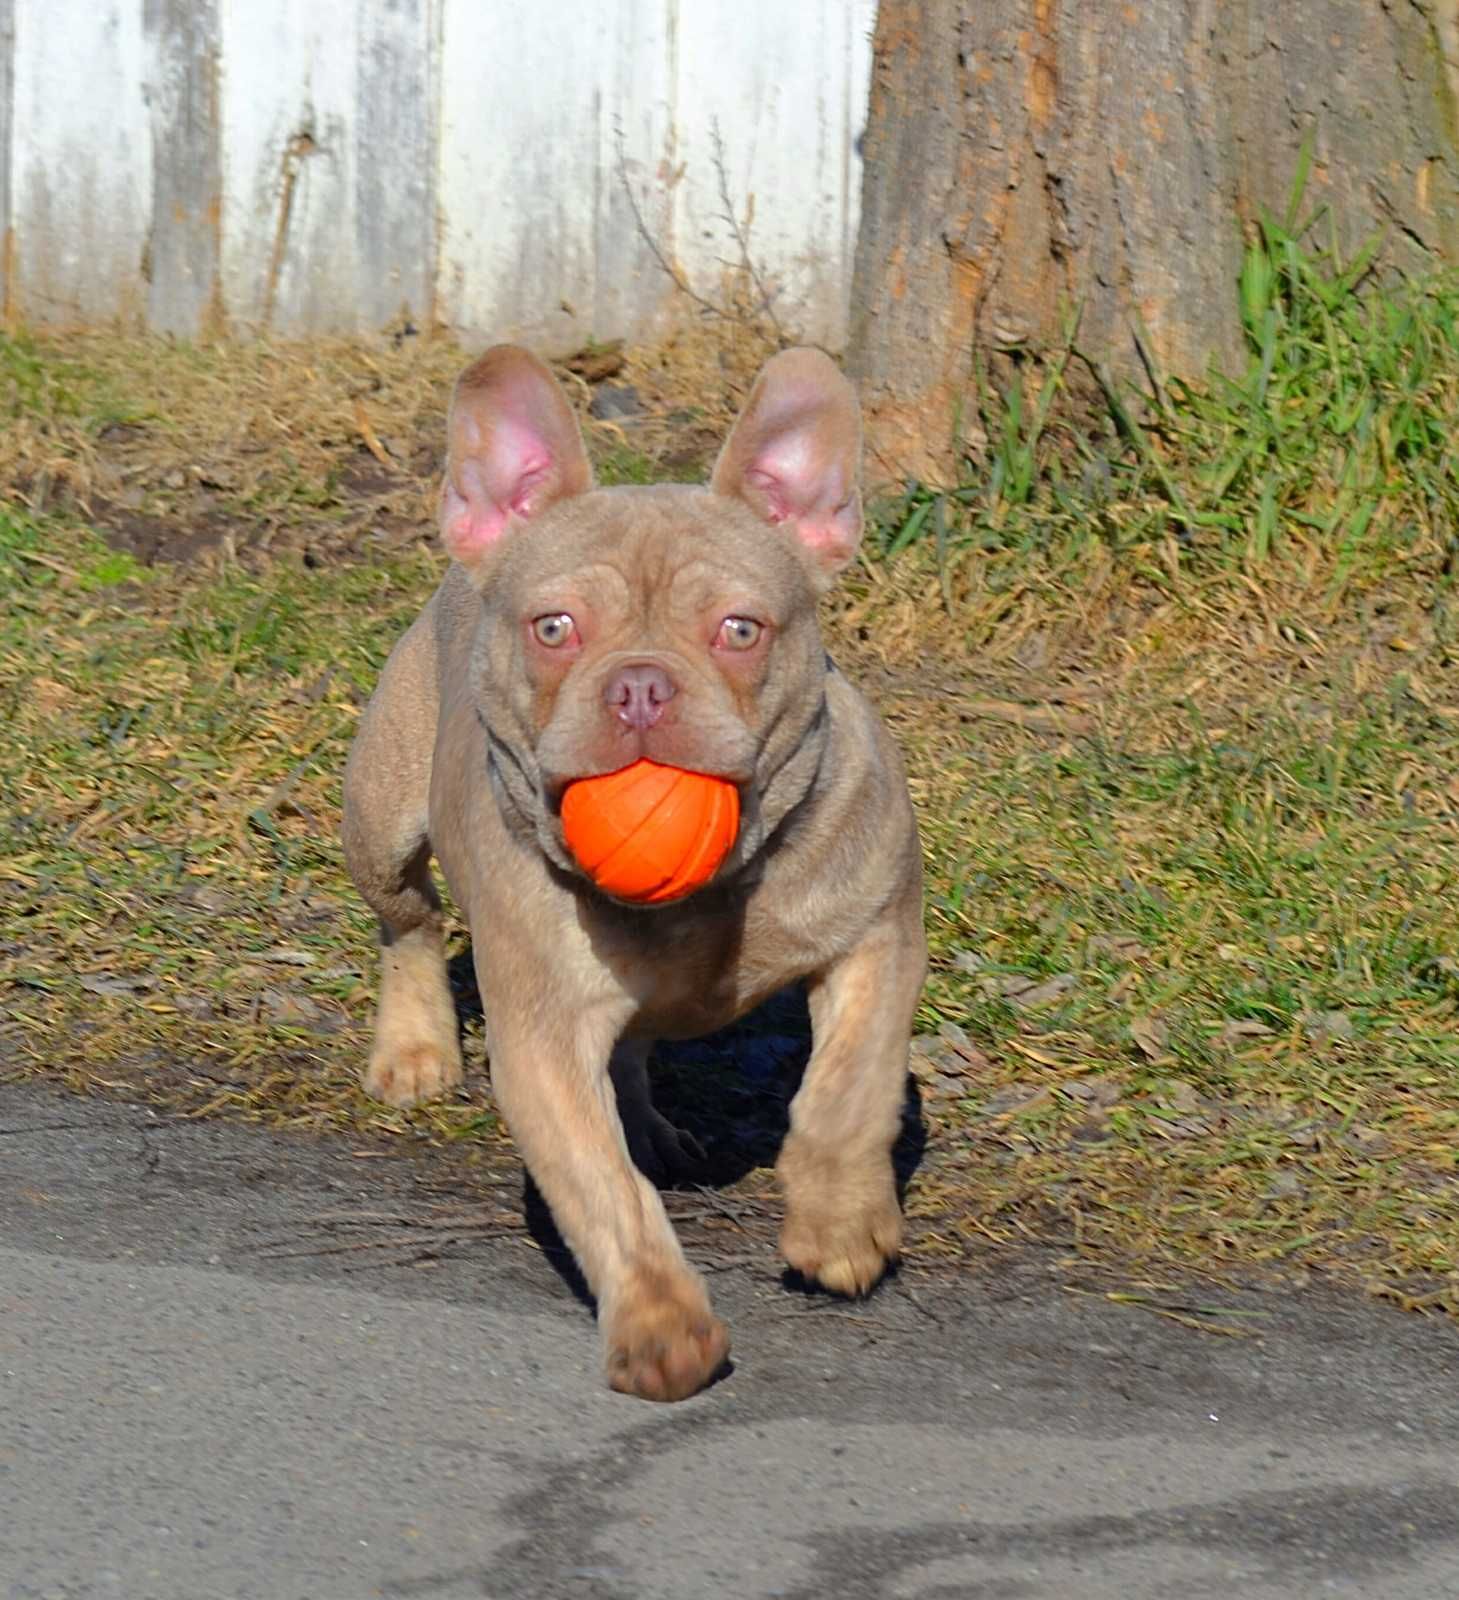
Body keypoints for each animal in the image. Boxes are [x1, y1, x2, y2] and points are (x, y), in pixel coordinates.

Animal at [342, 347, 921, 1401]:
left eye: (740, 631)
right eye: (554, 628)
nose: (641, 683)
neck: (709, 895)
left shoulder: (878, 932)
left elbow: (846, 1092)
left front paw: (839, 1227)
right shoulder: (541, 1044)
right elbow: (604, 1191)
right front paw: (659, 1324)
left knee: (633, 1051)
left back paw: (657, 1129)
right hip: (382, 818)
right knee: (409, 926)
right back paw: (414, 1051)